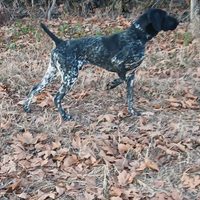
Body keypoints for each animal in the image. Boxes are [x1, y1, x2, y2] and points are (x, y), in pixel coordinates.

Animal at [22, 8, 179, 120]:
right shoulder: (118, 63)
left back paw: (26, 107)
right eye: (165, 15)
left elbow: (130, 98)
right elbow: (120, 79)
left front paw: (132, 112)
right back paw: (65, 116)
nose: (177, 21)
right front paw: (110, 85)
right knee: (57, 98)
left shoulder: (132, 76)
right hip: (70, 76)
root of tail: (60, 42)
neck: (137, 35)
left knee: (35, 88)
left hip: (52, 74)